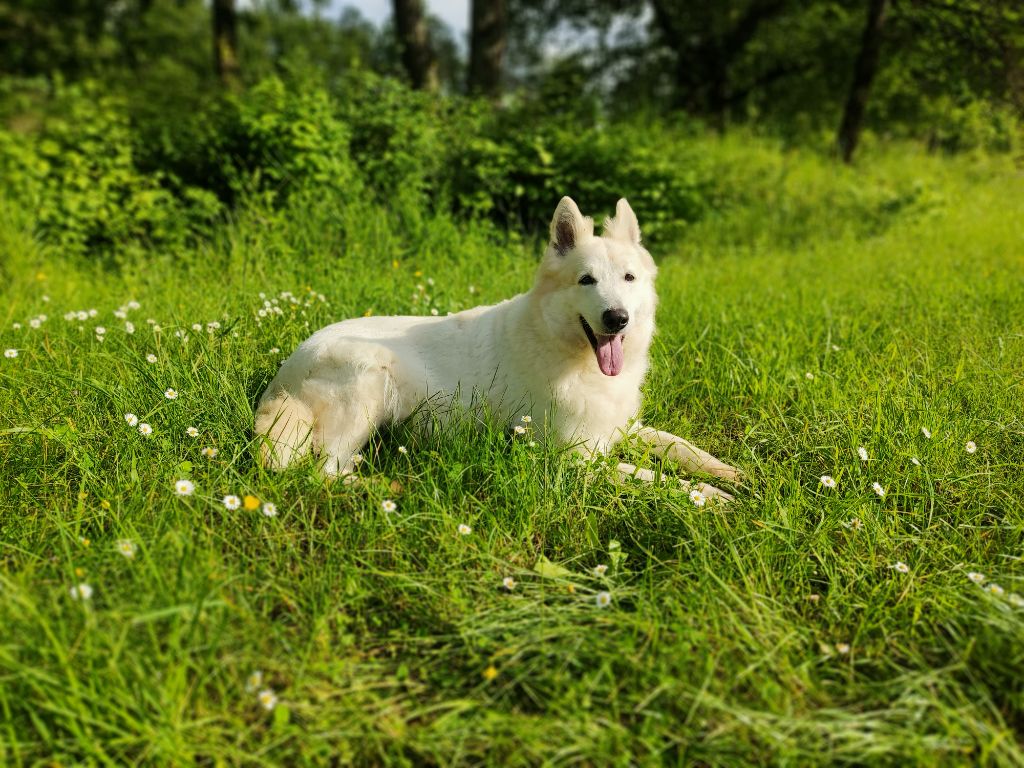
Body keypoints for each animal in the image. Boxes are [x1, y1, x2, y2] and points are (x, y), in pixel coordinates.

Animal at [252, 195, 741, 499]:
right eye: (586, 280)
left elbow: (677, 446)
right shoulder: (574, 460)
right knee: (322, 473)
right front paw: (710, 497)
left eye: (628, 279)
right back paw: (390, 488)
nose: (616, 318)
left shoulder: (619, 428)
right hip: (370, 383)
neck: (569, 355)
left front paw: (727, 472)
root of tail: (284, 376)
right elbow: (652, 477)